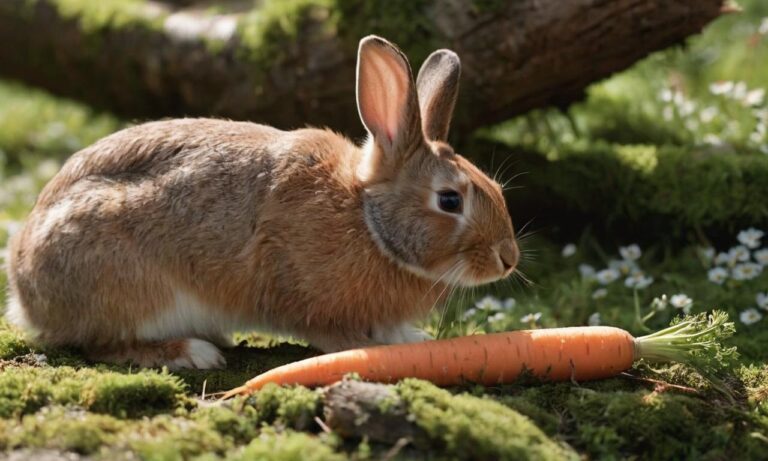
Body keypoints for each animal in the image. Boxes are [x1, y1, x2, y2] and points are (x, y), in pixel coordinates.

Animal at [4, 36, 516, 368]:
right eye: (449, 200)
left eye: (495, 187)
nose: (508, 259)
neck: (367, 220)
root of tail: (25, 290)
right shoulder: (298, 292)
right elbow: (329, 332)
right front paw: (373, 347)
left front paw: (411, 337)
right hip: (130, 282)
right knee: (101, 344)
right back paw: (193, 352)